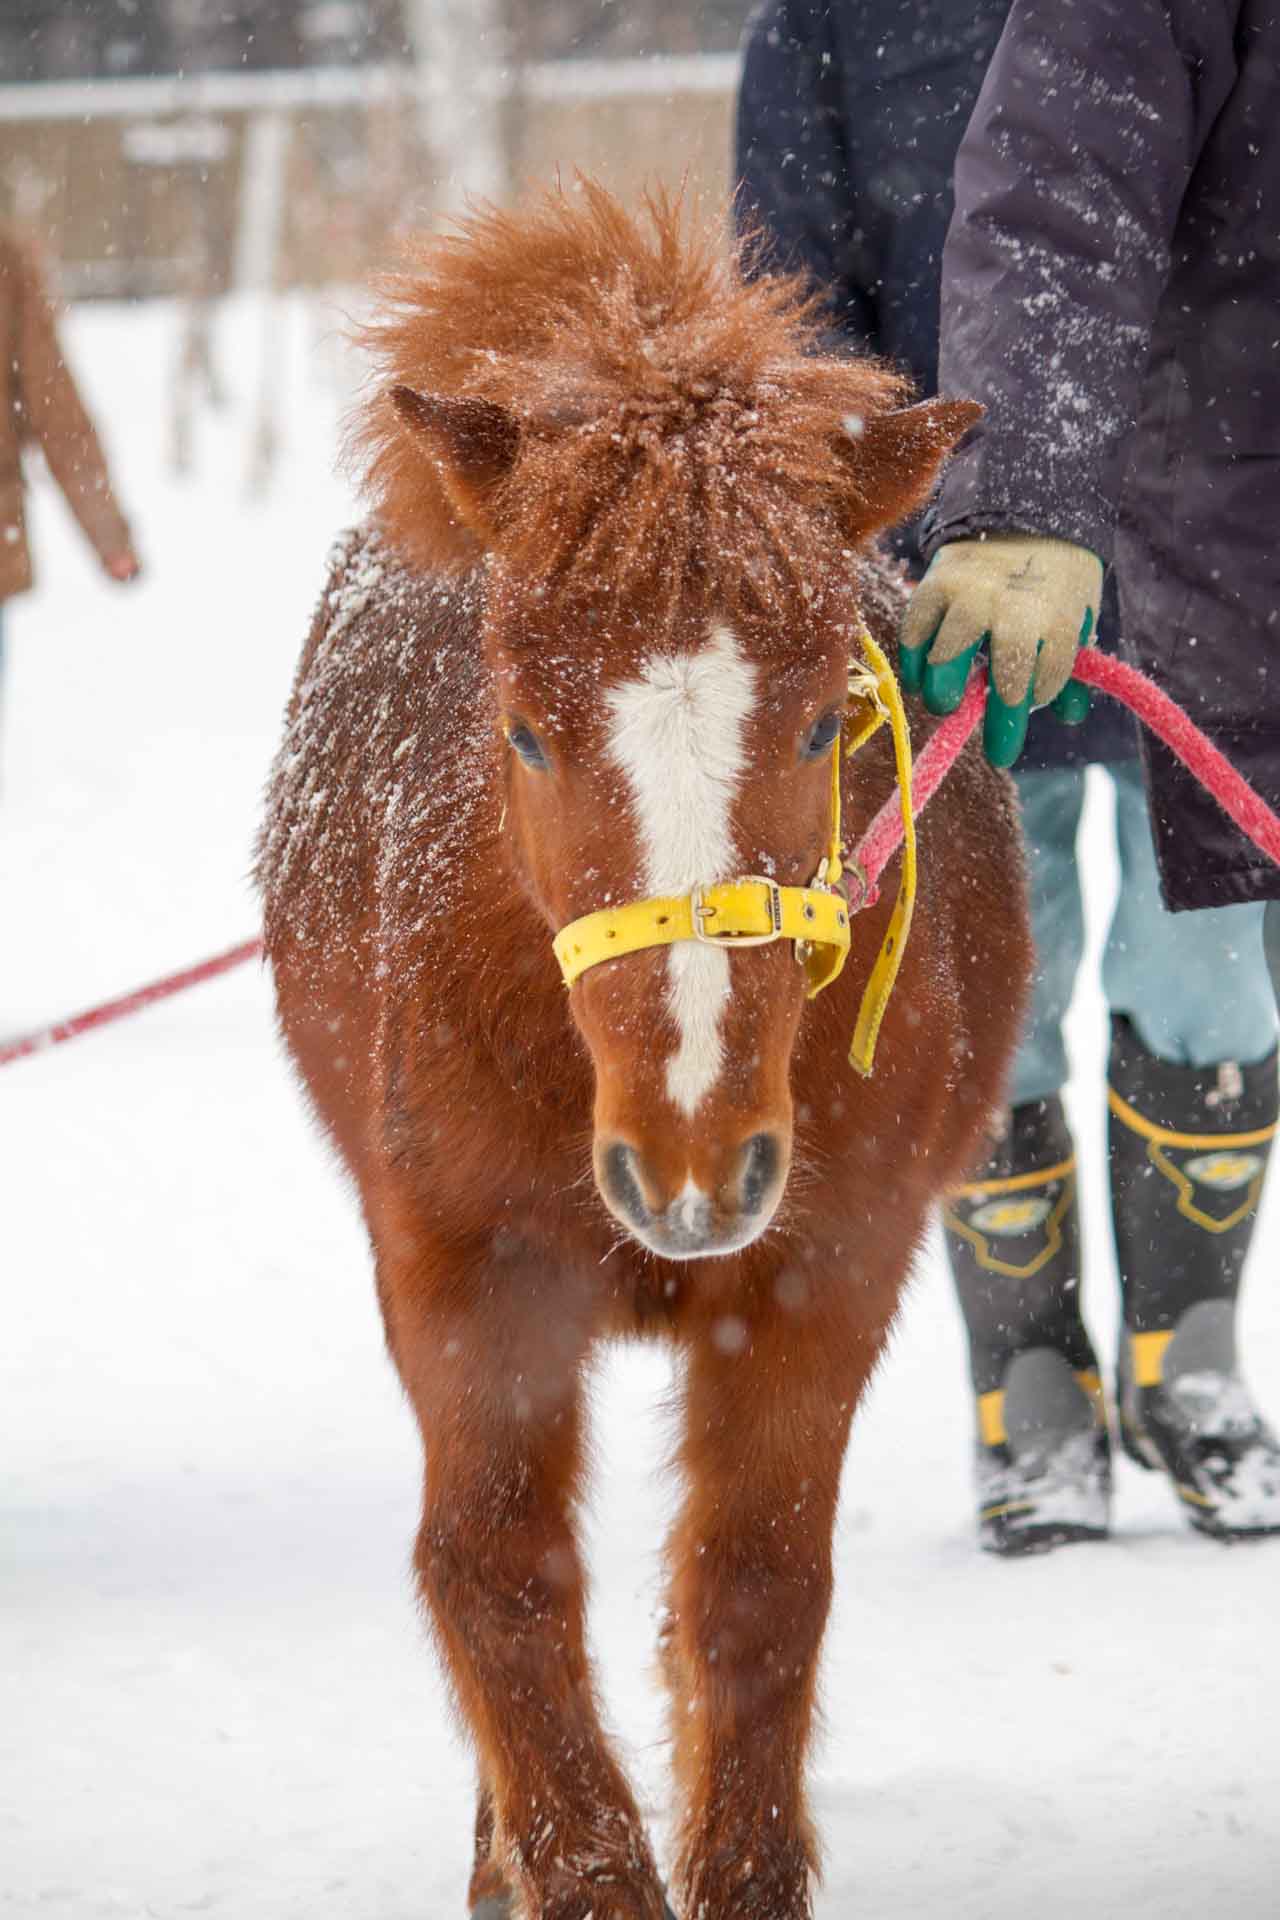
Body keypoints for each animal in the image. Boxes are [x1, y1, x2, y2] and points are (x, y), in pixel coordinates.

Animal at [260, 183, 1028, 1920]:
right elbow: (496, 1577)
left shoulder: (825, 1273)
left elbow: (750, 1590)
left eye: (822, 723)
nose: (689, 1160)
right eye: (526, 730)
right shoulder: (463, 1270)